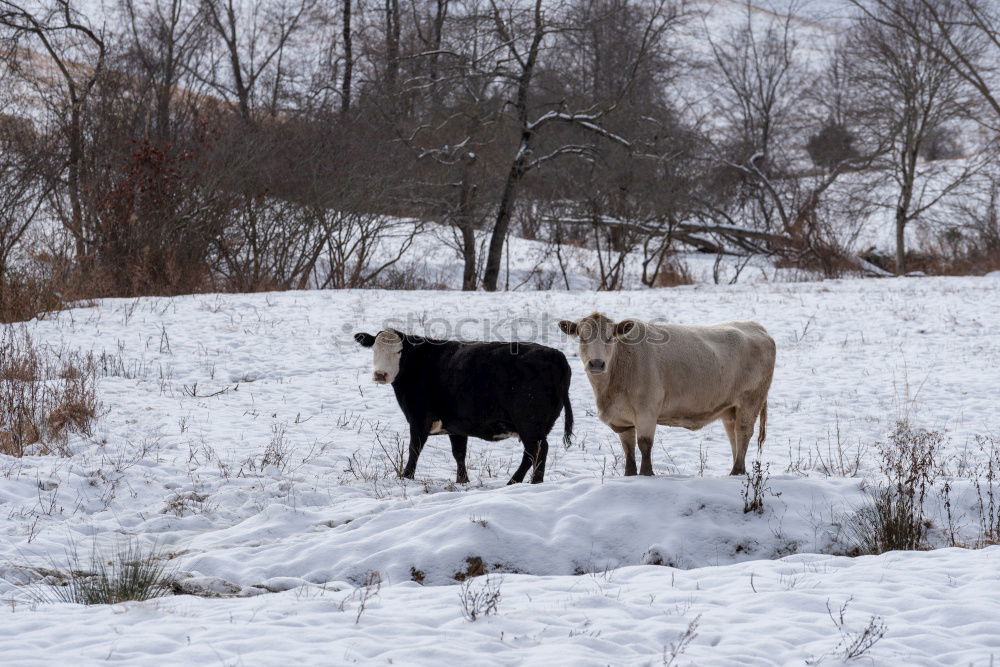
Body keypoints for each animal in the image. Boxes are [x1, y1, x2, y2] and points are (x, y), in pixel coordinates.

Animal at [354, 330, 576, 482]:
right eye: (374, 349)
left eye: (399, 351)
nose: (380, 374)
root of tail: (556, 355)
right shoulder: (456, 425)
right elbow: (459, 453)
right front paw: (463, 480)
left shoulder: (418, 419)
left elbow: (414, 449)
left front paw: (406, 477)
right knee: (535, 452)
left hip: (529, 422)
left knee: (536, 450)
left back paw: (523, 482)